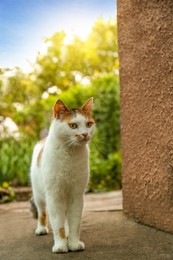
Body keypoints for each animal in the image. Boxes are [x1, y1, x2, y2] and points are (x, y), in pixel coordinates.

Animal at [29, 96, 94, 253]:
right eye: (73, 126)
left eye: (88, 124)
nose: (85, 134)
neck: (70, 153)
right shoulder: (55, 196)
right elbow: (58, 225)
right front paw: (60, 246)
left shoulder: (76, 195)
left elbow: (75, 222)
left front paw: (74, 243)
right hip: (39, 195)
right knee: (42, 212)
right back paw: (41, 229)